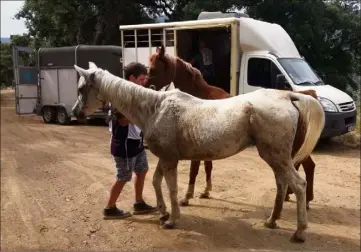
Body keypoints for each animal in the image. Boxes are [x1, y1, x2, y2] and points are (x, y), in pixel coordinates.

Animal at [71, 61, 324, 242]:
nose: (76, 113)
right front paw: (162, 212)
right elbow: (155, 181)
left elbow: (172, 188)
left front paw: (172, 220)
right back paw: (272, 221)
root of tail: (287, 95)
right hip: (276, 157)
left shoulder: (170, 159)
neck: (155, 109)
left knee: (299, 184)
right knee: (282, 185)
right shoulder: (166, 158)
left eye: (82, 88)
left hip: (277, 156)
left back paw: (299, 232)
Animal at [146, 44, 316, 209]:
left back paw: (305, 199)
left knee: (307, 167)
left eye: (153, 69)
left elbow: (194, 171)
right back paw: (292, 196)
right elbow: (208, 167)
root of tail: (295, 101)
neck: (199, 97)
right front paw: (206, 191)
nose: (147, 86)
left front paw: (187, 197)